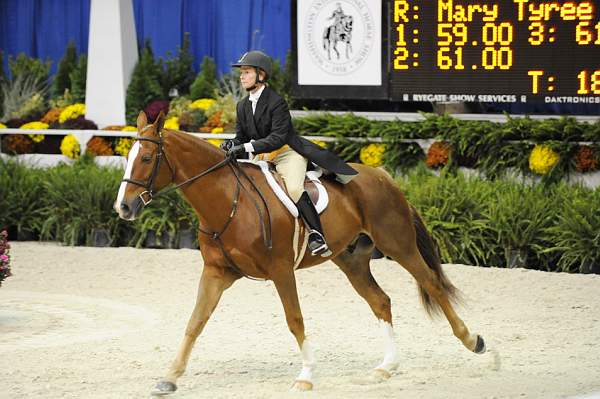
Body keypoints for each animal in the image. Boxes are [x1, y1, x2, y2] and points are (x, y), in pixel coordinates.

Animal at [115, 111, 486, 396]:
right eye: (128, 158)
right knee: (381, 301)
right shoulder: (217, 273)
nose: (123, 207)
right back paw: (386, 367)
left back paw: (474, 342)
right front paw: (169, 377)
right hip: (352, 260)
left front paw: (306, 376)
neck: (229, 202)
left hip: (399, 245)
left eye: (146, 158)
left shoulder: (281, 271)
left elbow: (295, 320)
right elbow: (195, 322)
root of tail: (383, 175)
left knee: (432, 284)